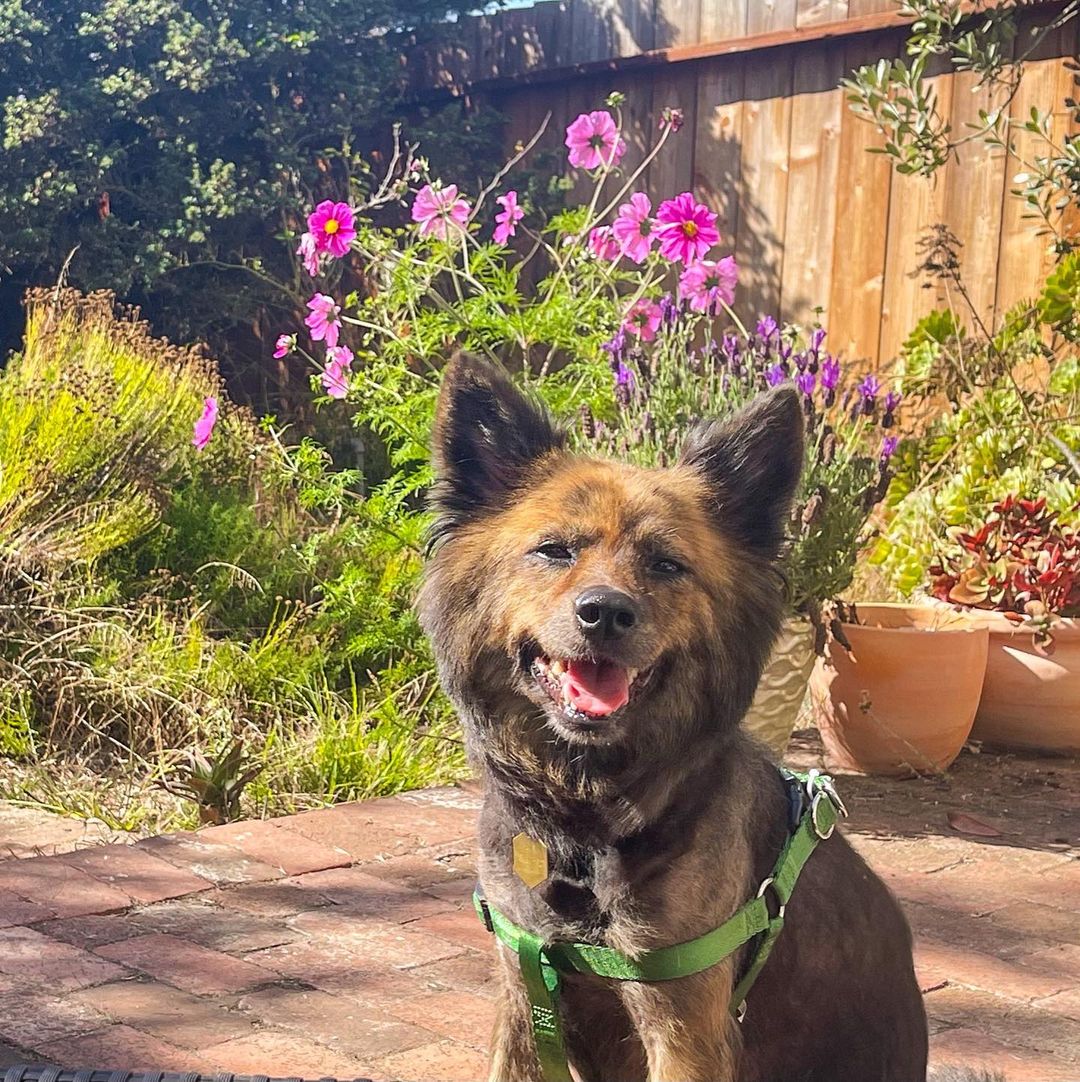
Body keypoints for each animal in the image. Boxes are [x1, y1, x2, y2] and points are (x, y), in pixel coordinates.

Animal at [419, 350, 973, 1077]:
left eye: (665, 564)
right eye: (554, 550)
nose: (605, 613)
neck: (584, 824)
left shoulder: (684, 1023)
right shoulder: (522, 995)